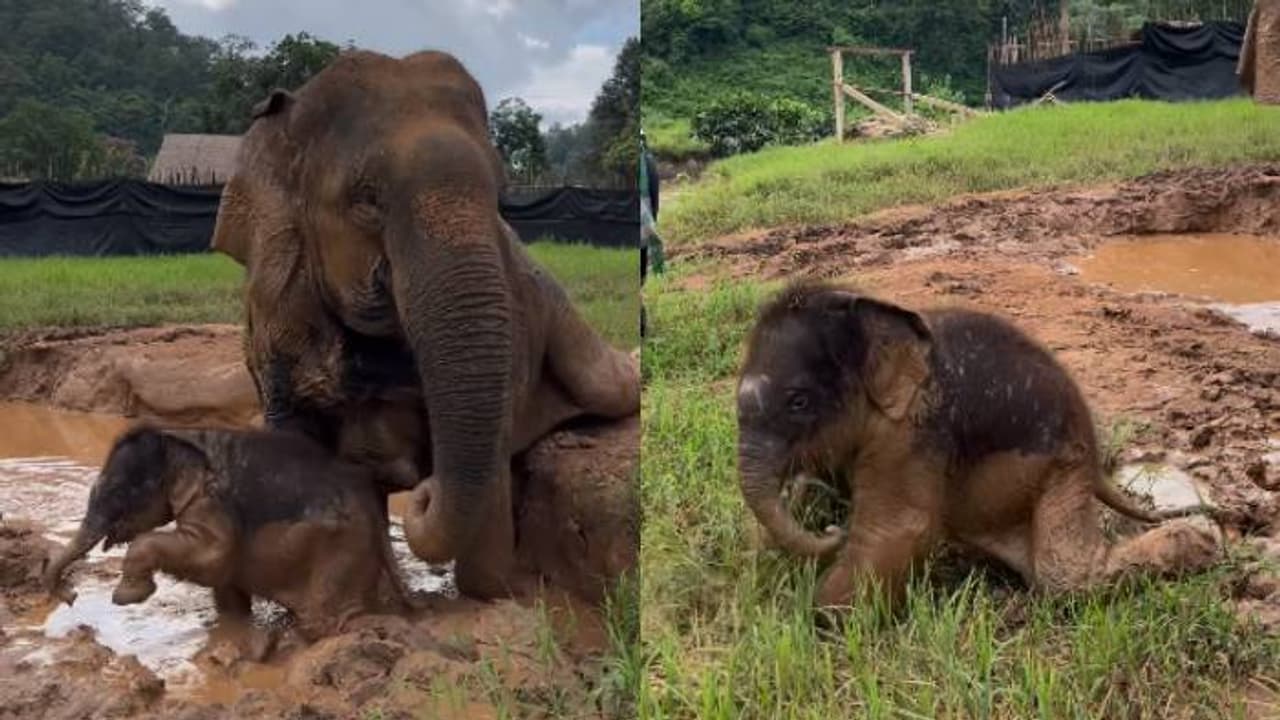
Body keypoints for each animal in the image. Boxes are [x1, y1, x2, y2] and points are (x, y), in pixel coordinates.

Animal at [41, 426, 419, 653]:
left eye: (119, 493)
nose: (71, 596)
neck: (179, 436)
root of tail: (372, 502)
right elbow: (225, 582)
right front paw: (233, 629)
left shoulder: (211, 502)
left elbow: (214, 554)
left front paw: (126, 596)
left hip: (341, 551)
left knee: (329, 621)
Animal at [735, 282, 1221, 610]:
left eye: (798, 402)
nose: (833, 531)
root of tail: (1097, 460)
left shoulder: (915, 432)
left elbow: (900, 528)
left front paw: (818, 620)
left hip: (1064, 469)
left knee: (1063, 578)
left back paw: (1200, 544)